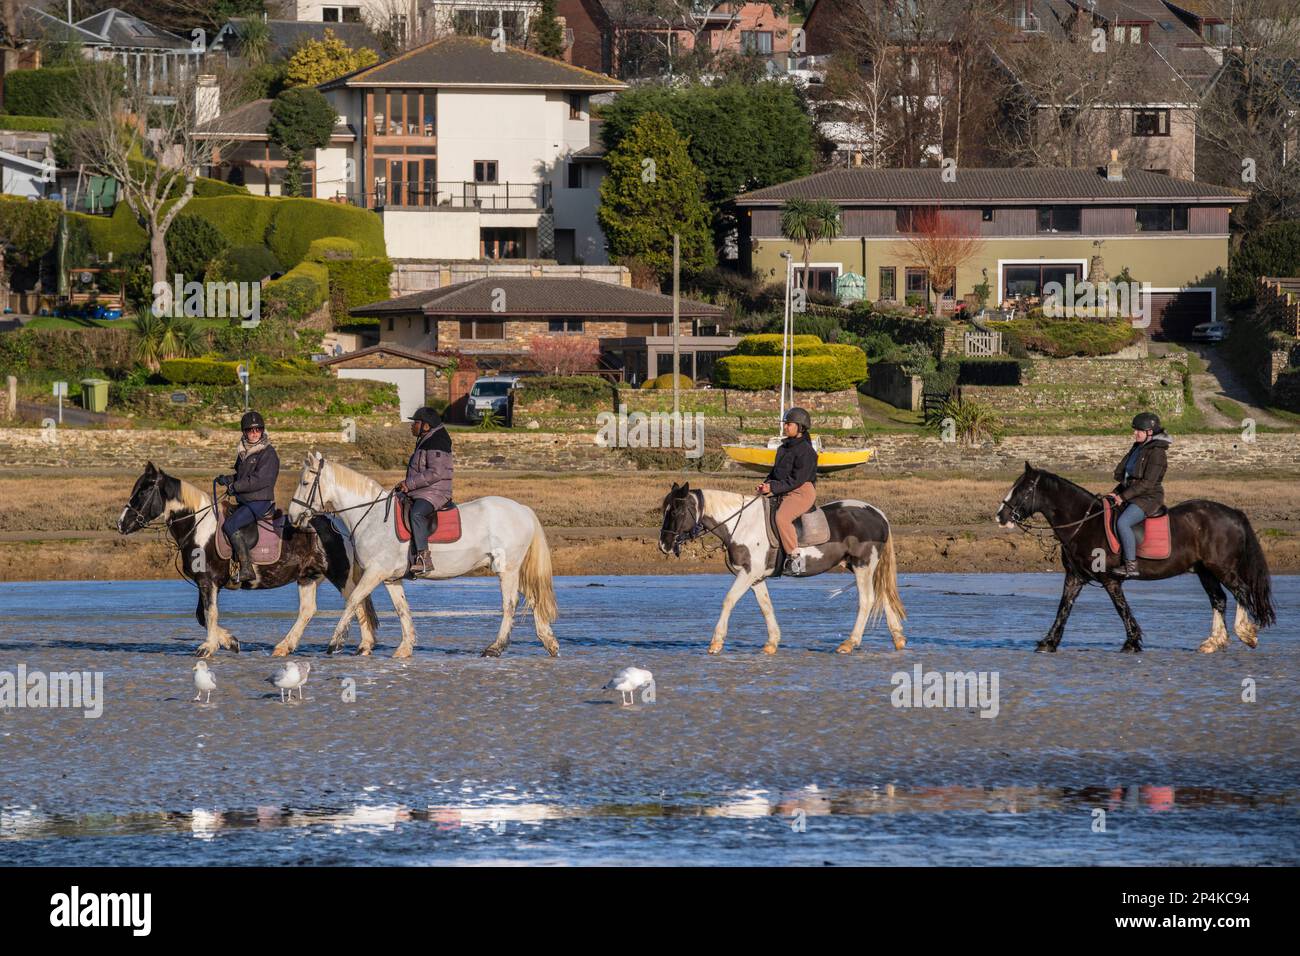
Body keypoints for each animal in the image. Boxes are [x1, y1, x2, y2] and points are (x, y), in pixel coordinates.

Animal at [118, 462, 380, 658]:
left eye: (143, 491)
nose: (121, 524)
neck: (199, 526)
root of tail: (338, 524)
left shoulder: (208, 582)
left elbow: (209, 613)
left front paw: (207, 647)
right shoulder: (206, 583)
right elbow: (202, 616)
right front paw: (230, 642)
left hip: (339, 574)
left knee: (357, 601)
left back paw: (364, 646)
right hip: (308, 576)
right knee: (308, 610)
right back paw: (284, 646)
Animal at [285, 452, 558, 658]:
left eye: (305, 483)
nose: (292, 517)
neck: (372, 517)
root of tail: (522, 509)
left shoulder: (376, 572)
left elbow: (353, 600)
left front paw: (335, 642)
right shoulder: (390, 577)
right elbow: (401, 609)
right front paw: (405, 648)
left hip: (507, 569)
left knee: (510, 605)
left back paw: (496, 647)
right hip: (511, 569)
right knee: (533, 598)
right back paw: (549, 642)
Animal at [658, 482, 906, 654]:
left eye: (677, 512)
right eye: (665, 510)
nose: (664, 545)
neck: (742, 523)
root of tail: (877, 513)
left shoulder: (748, 573)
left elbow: (729, 600)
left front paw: (716, 642)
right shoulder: (755, 577)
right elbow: (765, 606)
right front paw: (772, 642)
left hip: (862, 565)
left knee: (867, 600)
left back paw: (849, 642)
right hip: (863, 567)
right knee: (883, 596)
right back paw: (898, 639)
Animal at [996, 462, 1276, 653]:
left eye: (1023, 489)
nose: (1001, 515)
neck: (1085, 523)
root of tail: (1233, 513)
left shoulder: (1109, 579)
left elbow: (1121, 608)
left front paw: (1132, 641)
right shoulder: (1075, 577)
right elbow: (1063, 608)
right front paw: (1049, 642)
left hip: (1222, 568)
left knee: (1241, 592)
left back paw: (1246, 633)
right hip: (1205, 571)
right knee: (1218, 599)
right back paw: (1214, 642)